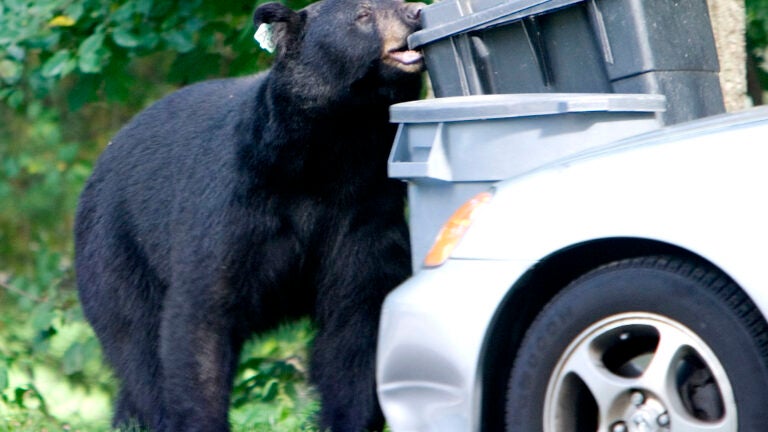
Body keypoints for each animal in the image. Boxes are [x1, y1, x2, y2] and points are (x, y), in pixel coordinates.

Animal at [73, 0, 424, 430]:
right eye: (363, 14)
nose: (415, 12)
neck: (328, 153)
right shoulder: (236, 202)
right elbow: (203, 313)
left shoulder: (364, 209)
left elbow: (356, 318)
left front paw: (346, 419)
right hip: (117, 252)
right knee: (137, 345)